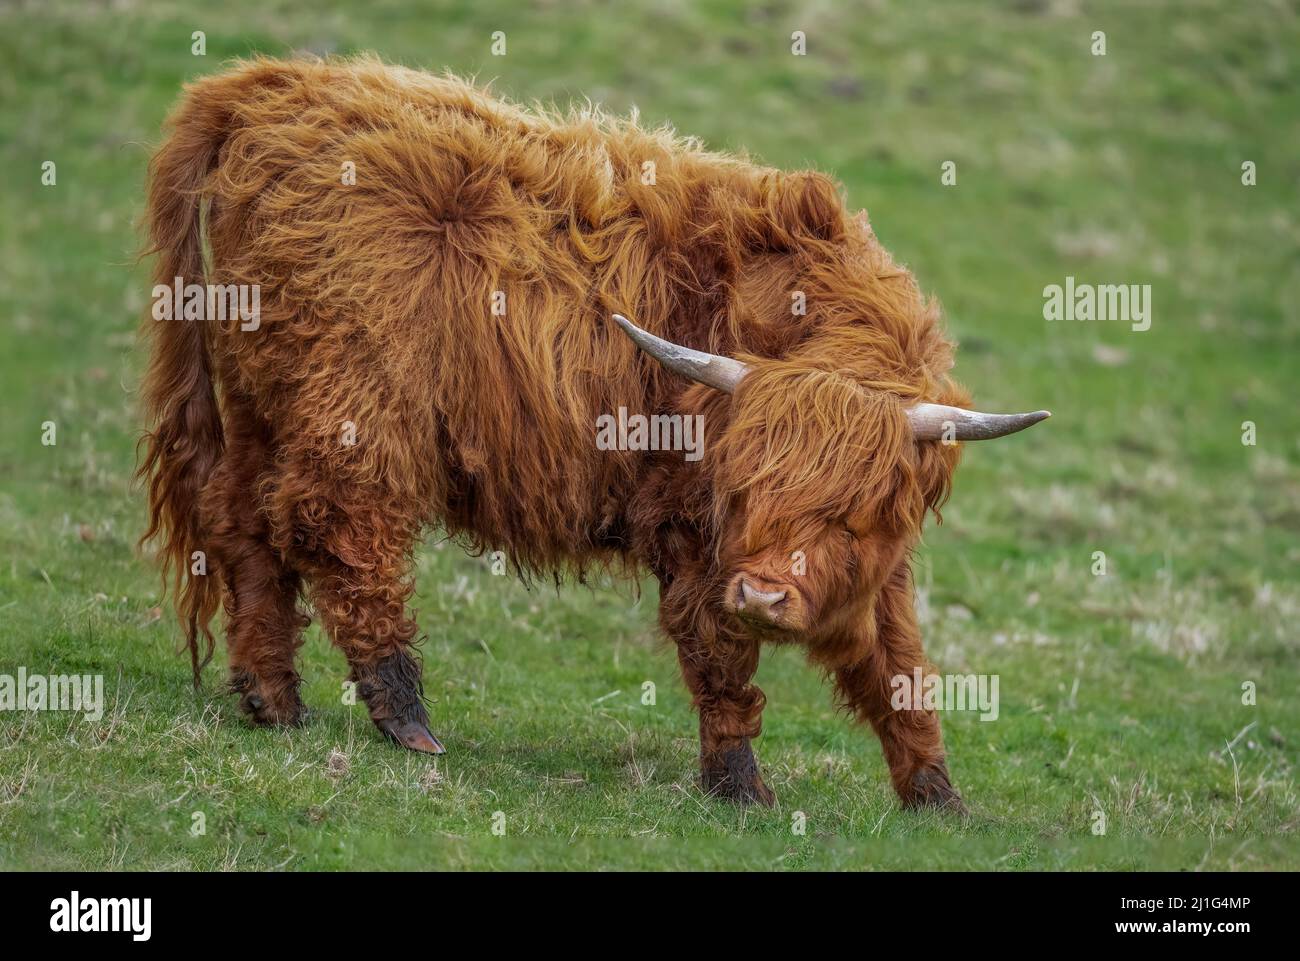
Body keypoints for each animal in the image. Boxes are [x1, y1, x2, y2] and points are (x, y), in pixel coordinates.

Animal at [138, 56, 1047, 810]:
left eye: (848, 515)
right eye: (745, 493)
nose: (763, 594)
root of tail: (270, 84)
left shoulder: (877, 565)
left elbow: (898, 666)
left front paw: (936, 794)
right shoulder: (689, 528)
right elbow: (721, 658)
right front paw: (740, 786)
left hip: (260, 398)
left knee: (245, 525)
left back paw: (273, 697)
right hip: (354, 399)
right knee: (336, 527)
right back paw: (404, 713)